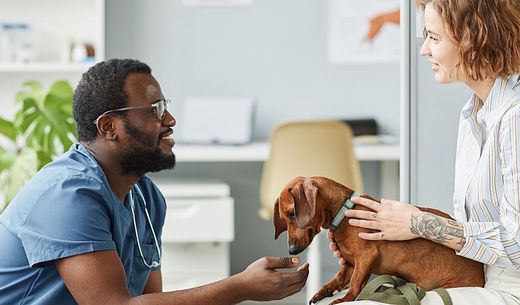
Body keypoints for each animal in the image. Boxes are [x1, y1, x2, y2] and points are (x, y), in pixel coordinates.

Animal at [274, 176, 486, 304]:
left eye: (293, 214)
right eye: (284, 218)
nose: (291, 250)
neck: (344, 212)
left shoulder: (366, 257)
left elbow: (355, 283)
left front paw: (346, 298)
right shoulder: (350, 264)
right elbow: (338, 279)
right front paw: (323, 291)